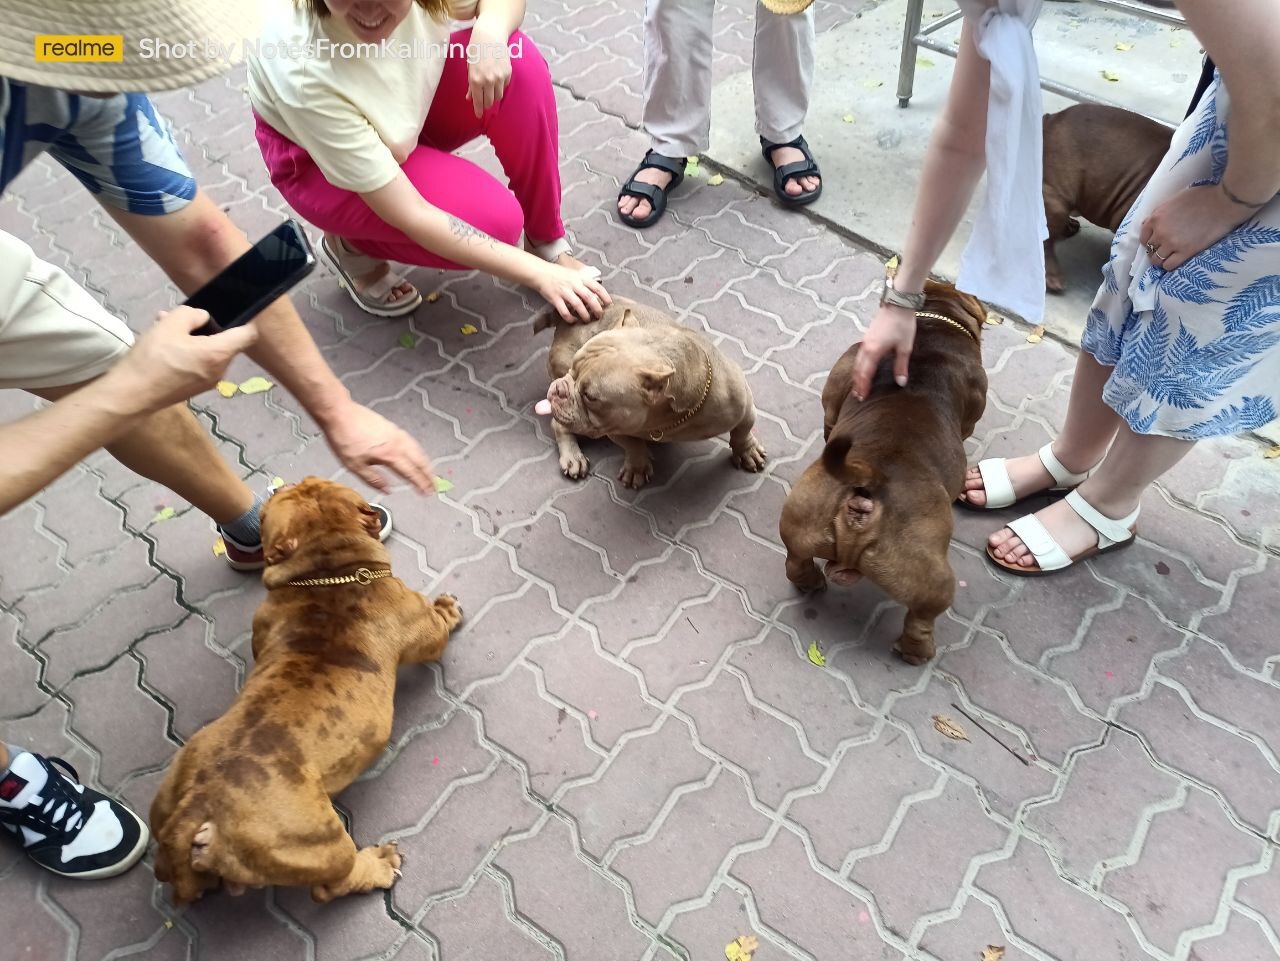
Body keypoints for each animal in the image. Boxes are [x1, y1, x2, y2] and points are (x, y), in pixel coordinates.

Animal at [148, 478, 465, 905]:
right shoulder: (420, 624)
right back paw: (378, 863)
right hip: (322, 842)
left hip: (170, 795)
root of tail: (196, 807)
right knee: (331, 885)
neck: (327, 569)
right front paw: (447, 609)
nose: (290, 483)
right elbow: (438, 626)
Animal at [532, 296, 762, 488]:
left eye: (590, 397)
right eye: (571, 370)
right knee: (559, 424)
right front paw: (637, 466)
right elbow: (633, 444)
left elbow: (742, 431)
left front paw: (747, 451)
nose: (558, 389)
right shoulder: (615, 427)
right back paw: (573, 457)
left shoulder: (743, 406)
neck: (666, 420)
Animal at [778, 281, 988, 665]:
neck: (934, 322)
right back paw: (915, 653)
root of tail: (869, 481)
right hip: (932, 579)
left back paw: (811, 583)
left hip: (803, 515)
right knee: (921, 619)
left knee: (796, 562)